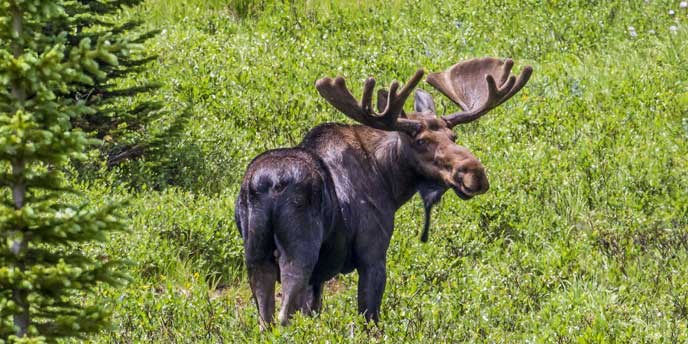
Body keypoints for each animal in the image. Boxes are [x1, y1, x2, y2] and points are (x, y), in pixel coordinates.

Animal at [235, 57, 532, 328]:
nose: (475, 174)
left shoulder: (320, 276)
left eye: (453, 137)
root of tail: (268, 184)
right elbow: (370, 320)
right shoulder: (373, 255)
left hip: (256, 256)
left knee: (265, 319)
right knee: (285, 315)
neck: (389, 182)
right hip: (299, 253)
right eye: (421, 141)